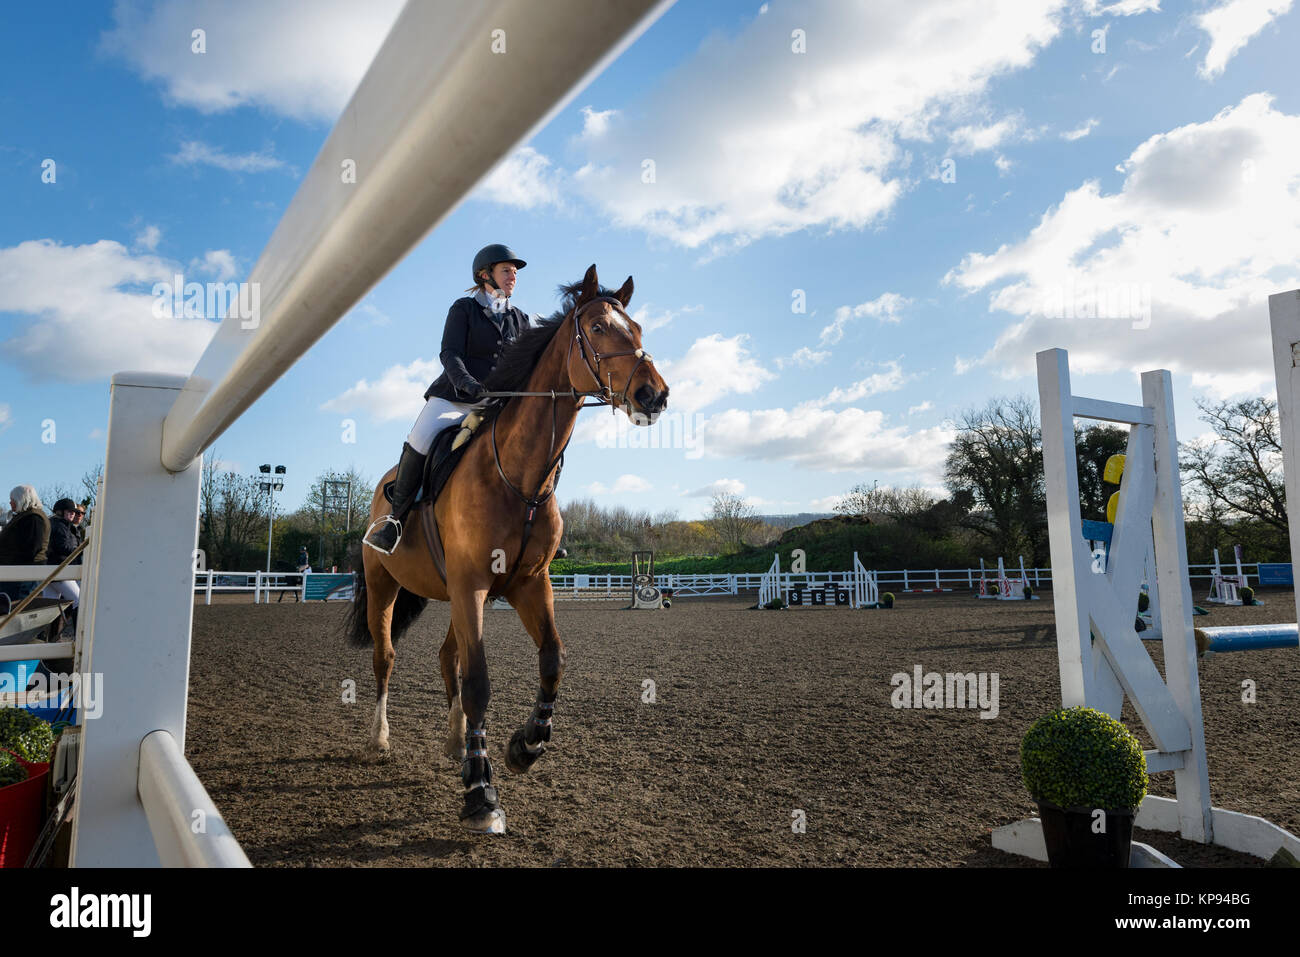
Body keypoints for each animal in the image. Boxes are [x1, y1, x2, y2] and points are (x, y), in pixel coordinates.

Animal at [345, 264, 670, 833]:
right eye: (600, 329)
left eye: (638, 330)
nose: (655, 395)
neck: (519, 474)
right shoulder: (473, 583)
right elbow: (479, 682)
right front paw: (481, 793)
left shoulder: (528, 583)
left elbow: (552, 660)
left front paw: (525, 747)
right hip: (388, 585)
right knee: (387, 658)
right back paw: (381, 740)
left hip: (452, 593)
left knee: (447, 655)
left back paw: (457, 742)